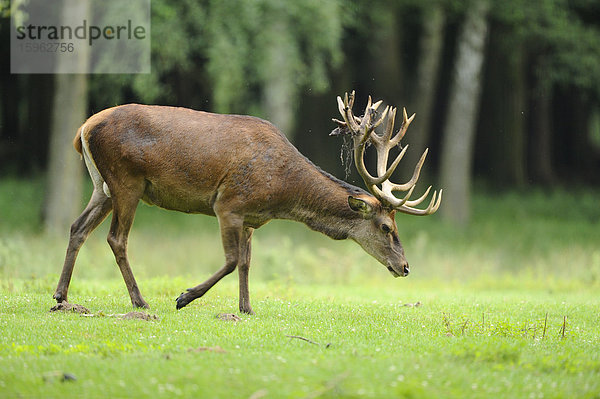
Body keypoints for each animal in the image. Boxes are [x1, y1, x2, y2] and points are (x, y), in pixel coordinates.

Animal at [52, 91, 440, 316]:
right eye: (387, 227)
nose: (405, 267)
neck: (283, 192)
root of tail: (83, 129)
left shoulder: (252, 218)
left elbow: (247, 263)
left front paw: (246, 307)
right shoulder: (229, 203)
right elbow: (231, 259)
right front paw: (185, 297)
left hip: (102, 186)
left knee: (77, 227)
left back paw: (61, 296)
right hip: (126, 180)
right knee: (116, 238)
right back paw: (140, 301)